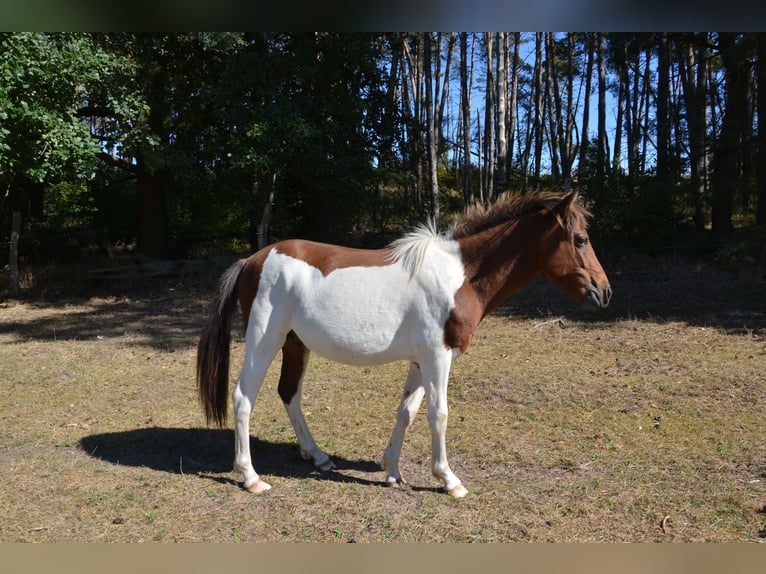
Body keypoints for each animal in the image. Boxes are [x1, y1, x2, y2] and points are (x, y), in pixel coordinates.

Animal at [196, 191, 612, 498]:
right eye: (580, 239)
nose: (604, 292)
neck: (459, 276)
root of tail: (253, 259)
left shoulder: (420, 361)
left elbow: (406, 412)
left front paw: (393, 471)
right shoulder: (437, 357)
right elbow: (438, 415)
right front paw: (449, 480)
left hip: (295, 345)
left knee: (290, 393)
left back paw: (318, 456)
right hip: (264, 341)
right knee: (244, 398)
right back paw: (251, 477)